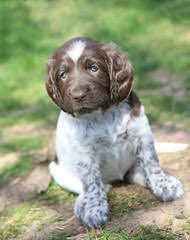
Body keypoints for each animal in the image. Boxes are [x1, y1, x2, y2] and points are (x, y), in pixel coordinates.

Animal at [45, 37, 183, 229]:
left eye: (94, 68)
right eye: (63, 75)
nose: (78, 95)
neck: (102, 114)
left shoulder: (142, 132)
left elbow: (152, 163)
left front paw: (164, 186)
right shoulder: (84, 152)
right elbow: (92, 182)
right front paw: (94, 210)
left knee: (134, 173)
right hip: (56, 169)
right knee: (87, 187)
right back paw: (84, 201)